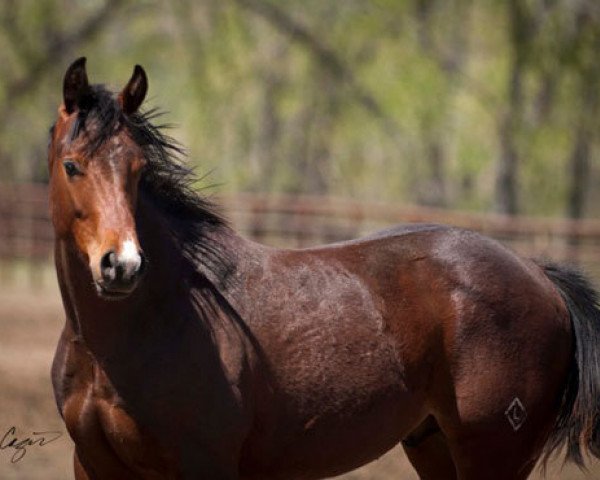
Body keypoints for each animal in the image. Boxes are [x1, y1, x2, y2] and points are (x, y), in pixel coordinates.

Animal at [49, 57, 600, 480]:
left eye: (139, 169)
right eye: (72, 165)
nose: (122, 266)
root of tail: (541, 277)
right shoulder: (93, 466)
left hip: (492, 455)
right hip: (433, 445)